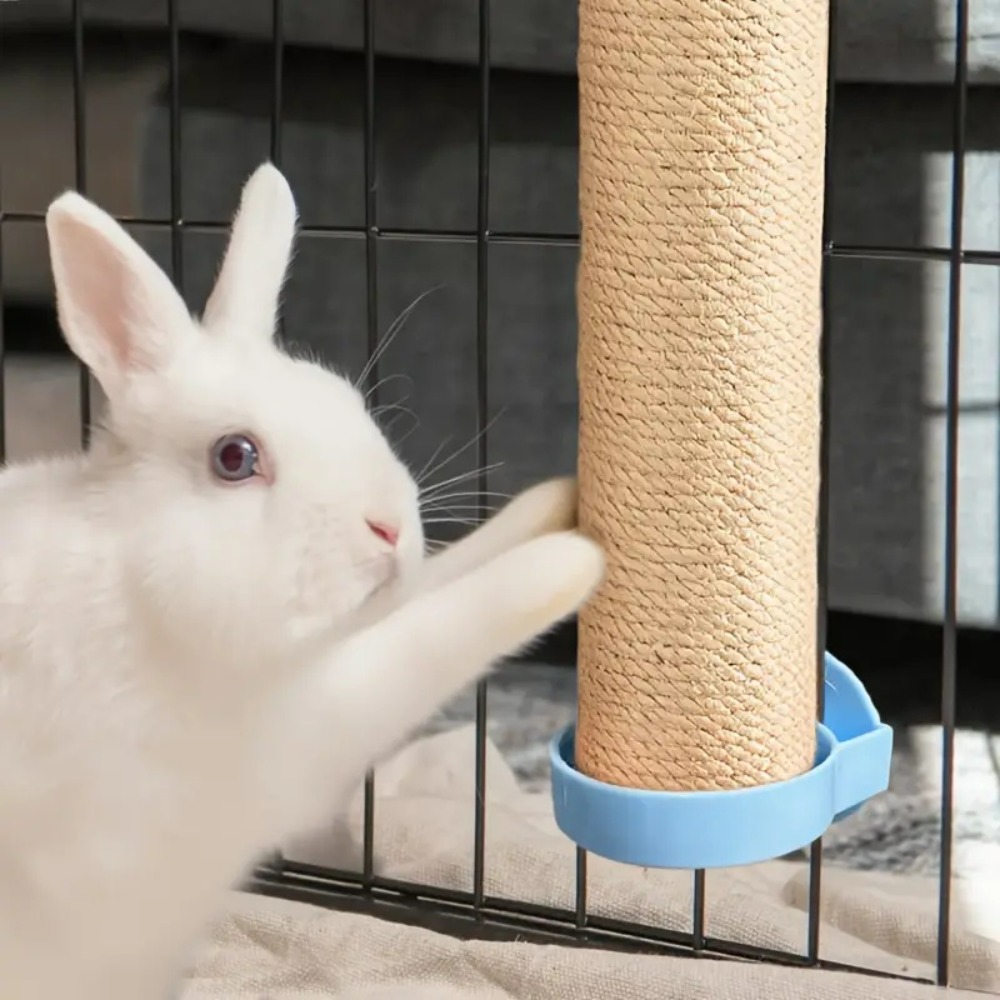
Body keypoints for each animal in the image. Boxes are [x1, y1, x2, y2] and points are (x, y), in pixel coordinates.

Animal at [0, 163, 605, 1000]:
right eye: (235, 457)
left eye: (347, 402)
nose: (390, 526)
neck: (137, 574)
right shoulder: (307, 720)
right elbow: (436, 632)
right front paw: (570, 559)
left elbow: (436, 583)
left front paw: (553, 501)